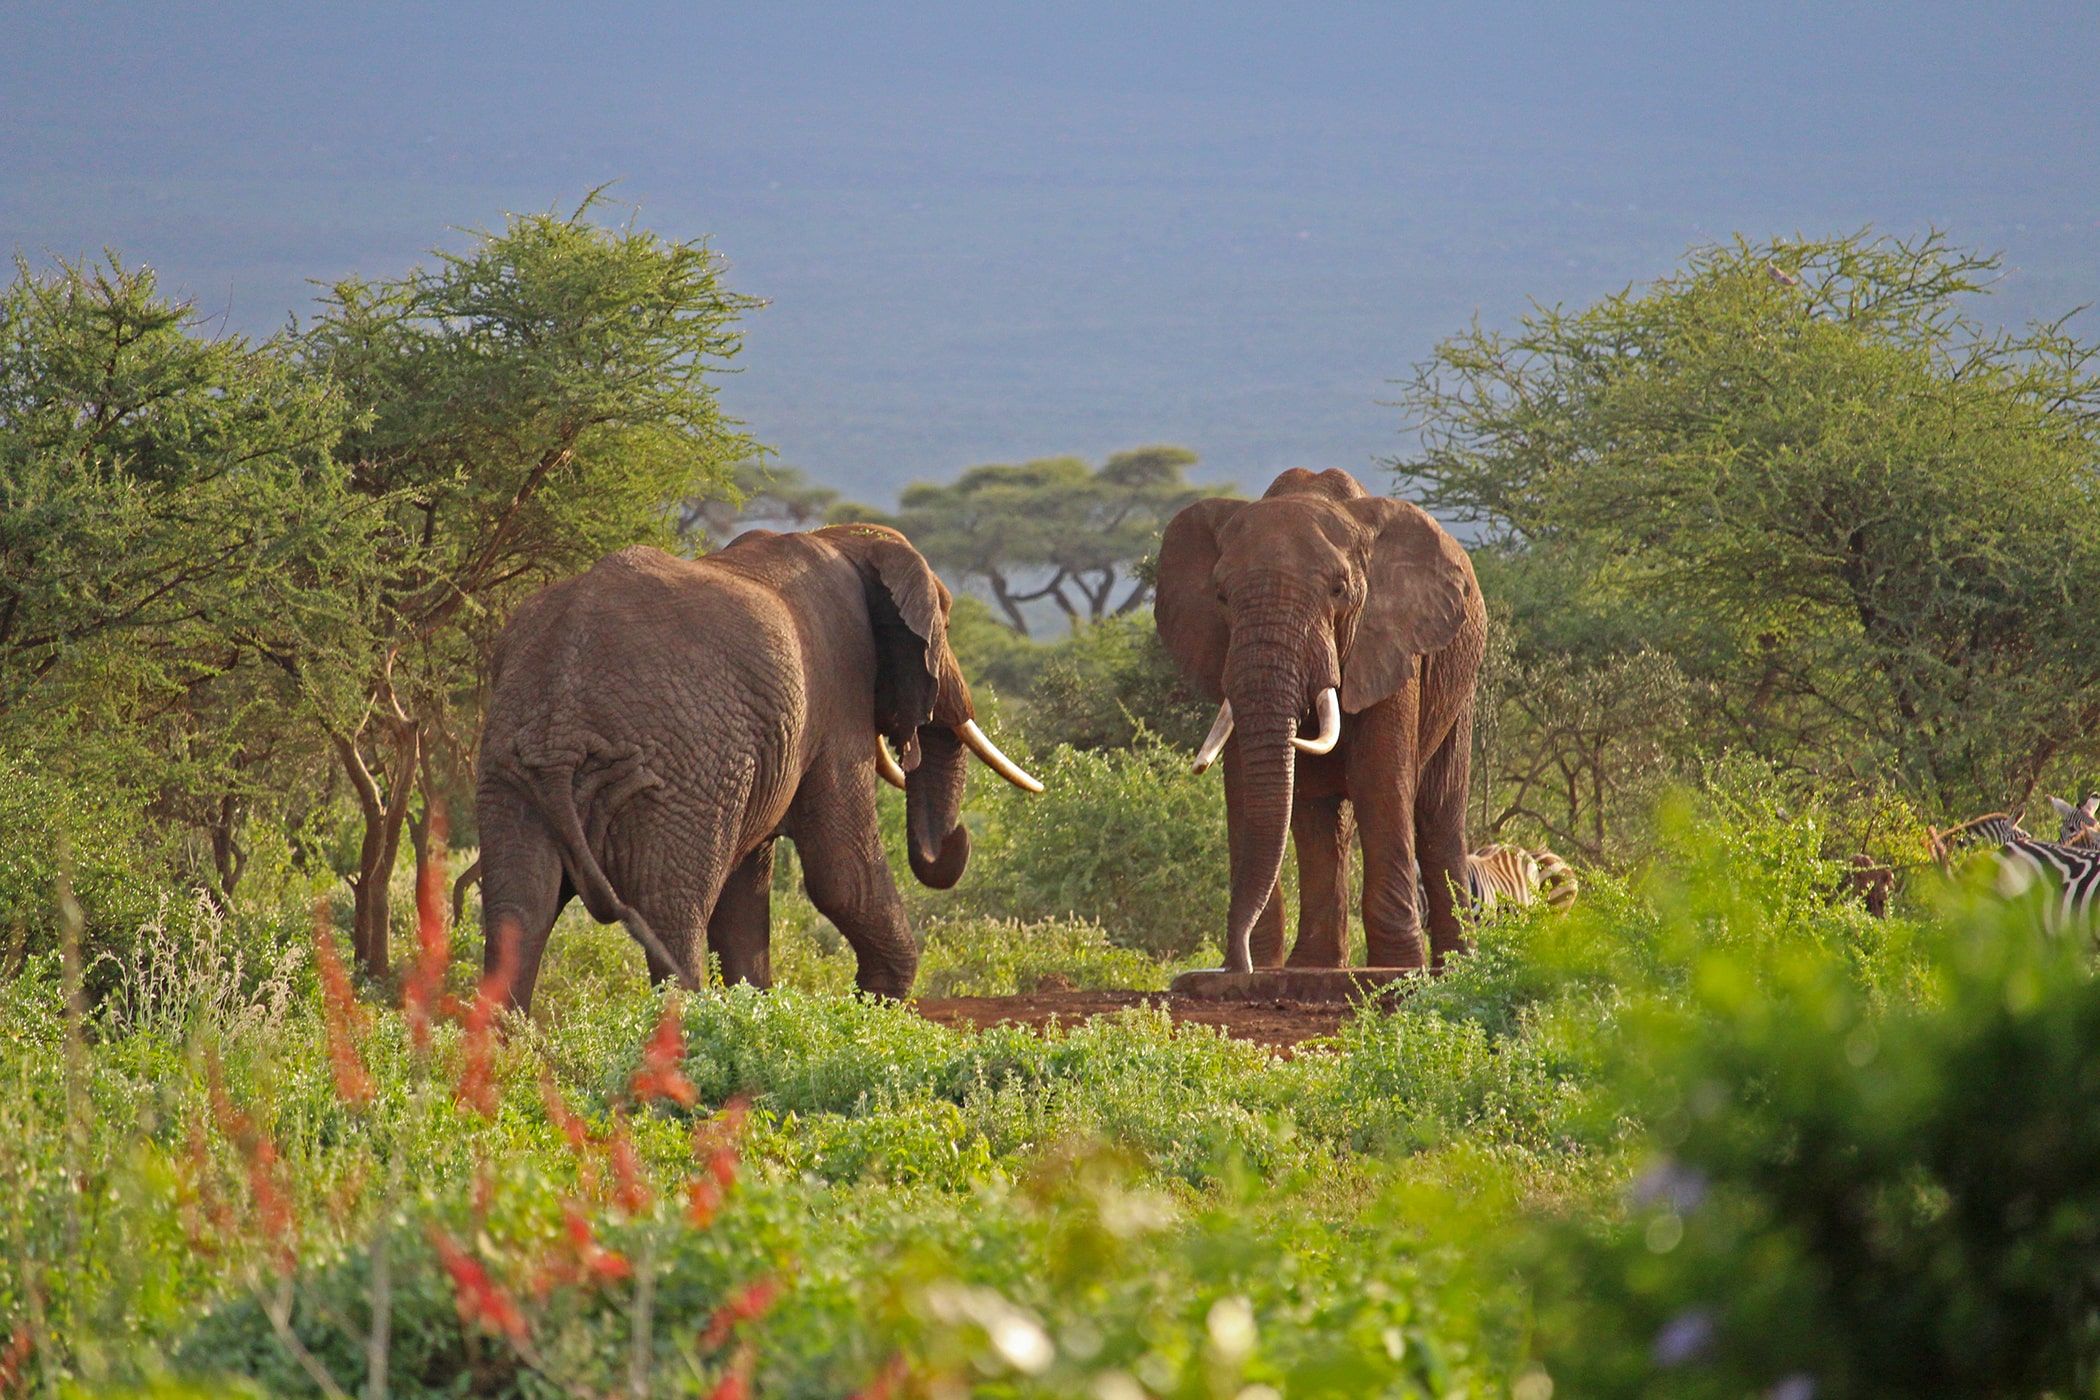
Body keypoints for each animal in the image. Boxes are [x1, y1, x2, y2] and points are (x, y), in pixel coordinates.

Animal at [474, 523, 1042, 1011]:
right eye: (946, 624)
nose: (961, 838)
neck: (844, 540)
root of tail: (562, 725)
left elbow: (747, 889)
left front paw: (761, 1012)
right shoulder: (839, 693)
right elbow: (841, 872)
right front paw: (873, 1007)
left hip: (511, 768)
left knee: (518, 910)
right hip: (676, 774)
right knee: (670, 914)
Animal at [1155, 468, 1486, 973]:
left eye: (1338, 590)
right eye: (1221, 596)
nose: (1235, 963)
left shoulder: (1391, 642)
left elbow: (1379, 779)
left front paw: (1396, 969)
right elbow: (1246, 787)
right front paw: (1258, 969)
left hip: (1460, 687)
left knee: (1437, 815)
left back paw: (1454, 966)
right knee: (1321, 822)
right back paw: (1314, 964)